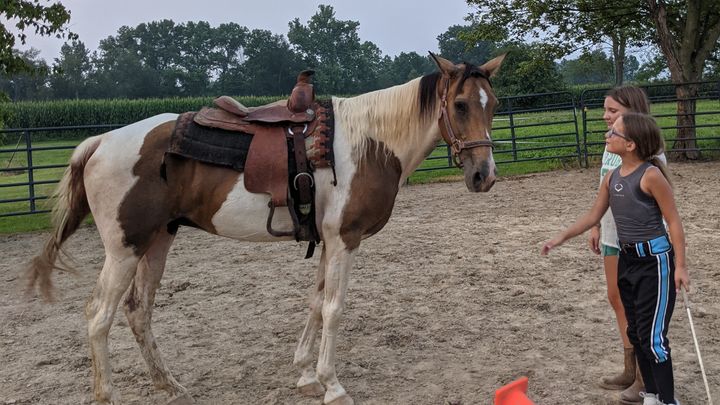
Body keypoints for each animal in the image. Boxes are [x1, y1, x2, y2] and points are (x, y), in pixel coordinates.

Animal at [26, 53, 506, 404]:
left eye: (495, 105)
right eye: (460, 105)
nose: (484, 176)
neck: (368, 144)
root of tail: (100, 142)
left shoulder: (327, 243)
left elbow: (315, 303)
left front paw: (306, 375)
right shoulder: (344, 240)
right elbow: (334, 308)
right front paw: (332, 386)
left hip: (157, 241)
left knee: (138, 311)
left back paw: (171, 385)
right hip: (125, 248)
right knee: (99, 316)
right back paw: (109, 394)